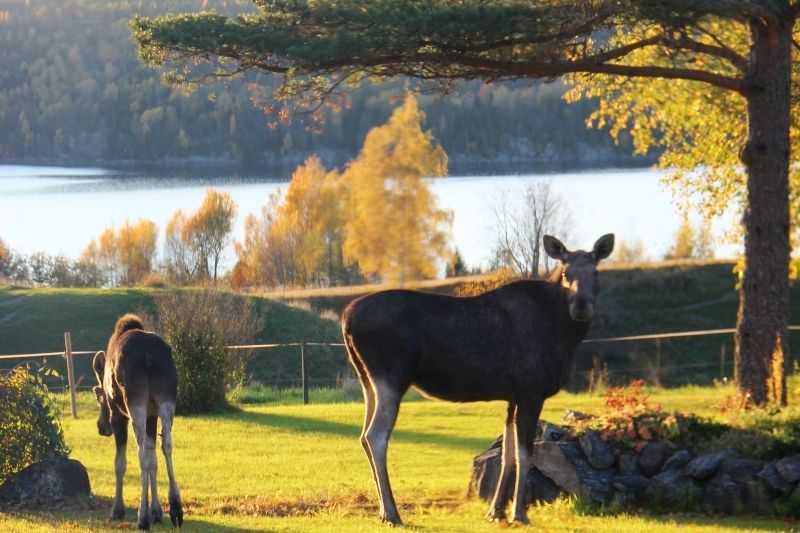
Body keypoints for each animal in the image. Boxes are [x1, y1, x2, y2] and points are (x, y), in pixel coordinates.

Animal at [92, 312, 184, 528]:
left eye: (99, 396)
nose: (101, 426)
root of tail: (149, 357)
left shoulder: (117, 415)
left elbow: (120, 463)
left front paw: (118, 509)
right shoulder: (152, 414)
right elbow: (154, 459)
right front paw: (156, 511)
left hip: (134, 400)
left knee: (142, 451)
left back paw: (142, 518)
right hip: (166, 399)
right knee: (166, 444)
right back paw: (176, 506)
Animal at [342, 234, 612, 524]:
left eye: (596, 272)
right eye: (565, 272)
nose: (581, 306)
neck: (566, 336)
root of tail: (347, 318)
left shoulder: (513, 396)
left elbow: (507, 453)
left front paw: (496, 511)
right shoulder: (531, 391)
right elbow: (524, 453)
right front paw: (519, 513)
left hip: (367, 379)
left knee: (363, 435)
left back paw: (384, 510)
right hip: (391, 376)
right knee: (376, 436)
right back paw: (392, 513)